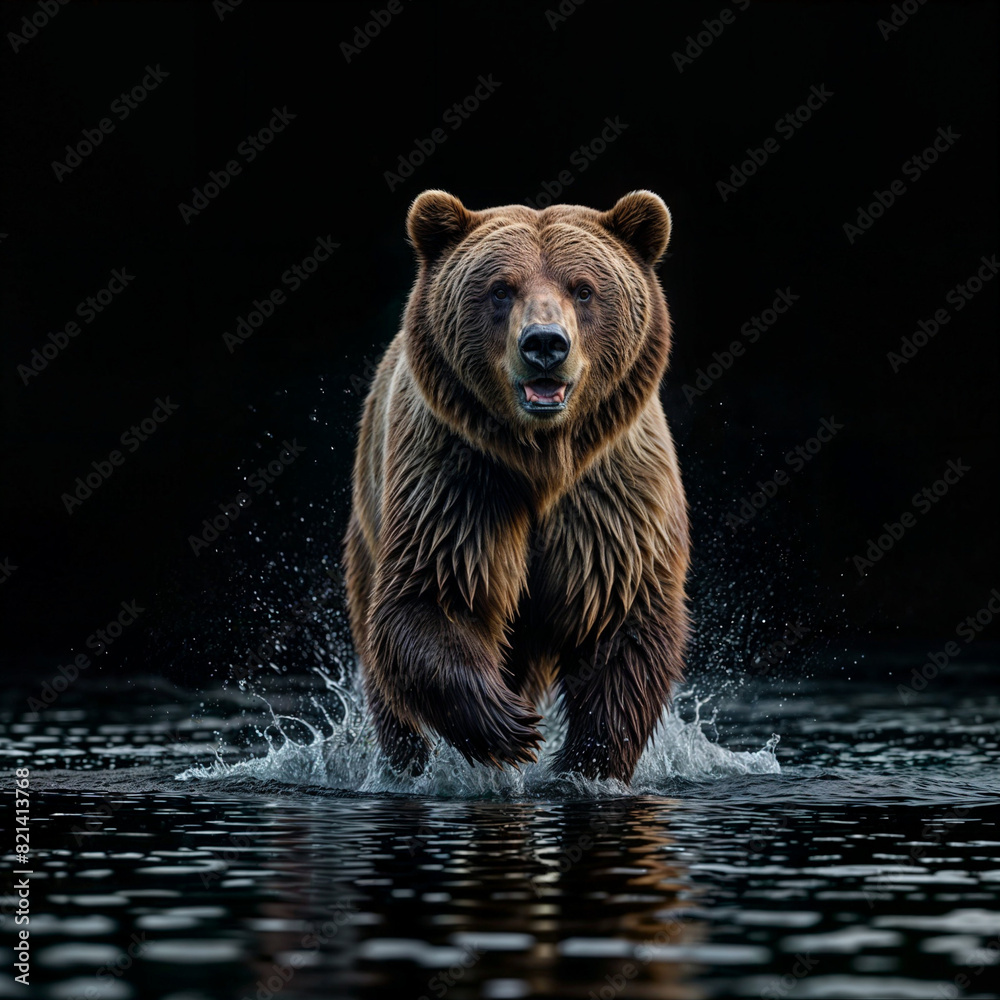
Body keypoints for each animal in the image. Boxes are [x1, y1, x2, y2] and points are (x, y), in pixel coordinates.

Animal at [343, 189, 689, 785]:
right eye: (501, 288)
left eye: (583, 288)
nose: (545, 344)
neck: (542, 459)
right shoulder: (459, 480)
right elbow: (431, 596)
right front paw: (509, 725)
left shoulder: (611, 499)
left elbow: (624, 622)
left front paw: (586, 761)